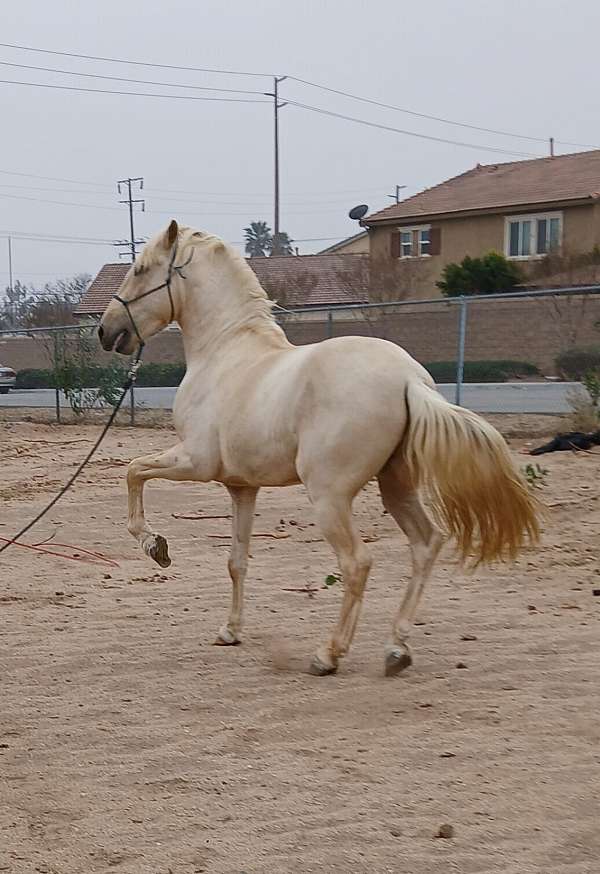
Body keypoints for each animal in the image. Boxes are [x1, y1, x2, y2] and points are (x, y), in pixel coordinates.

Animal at [98, 221, 540, 676]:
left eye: (141, 269)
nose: (106, 331)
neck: (226, 352)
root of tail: (408, 379)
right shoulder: (241, 488)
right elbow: (237, 561)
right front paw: (230, 631)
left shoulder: (195, 462)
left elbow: (133, 472)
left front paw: (155, 546)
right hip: (396, 486)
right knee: (426, 543)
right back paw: (396, 649)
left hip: (329, 497)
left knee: (357, 564)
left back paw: (328, 654)